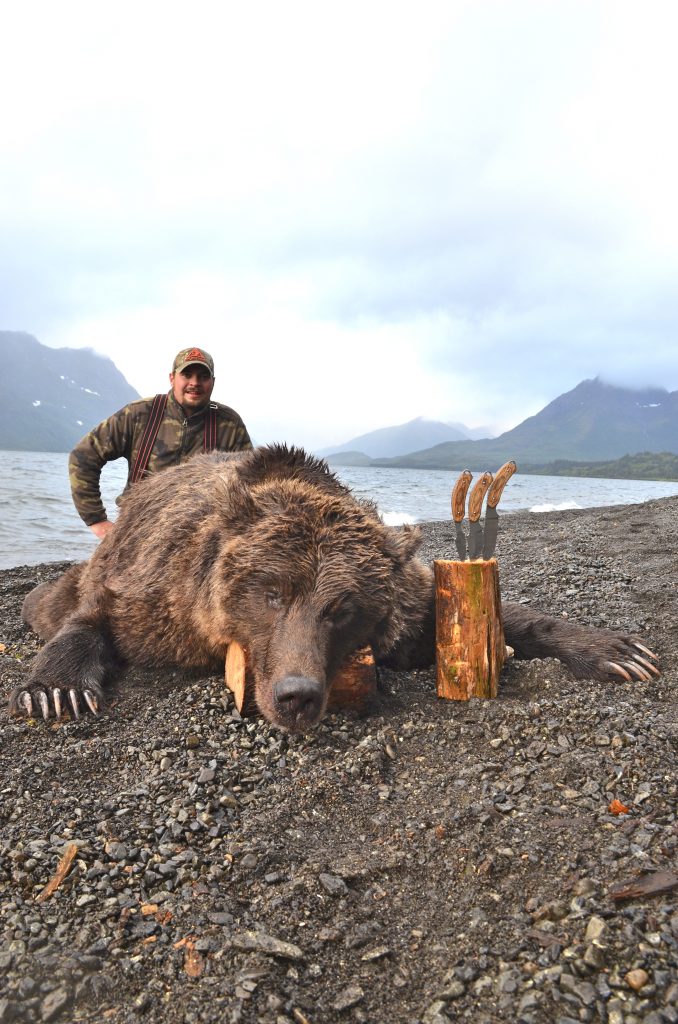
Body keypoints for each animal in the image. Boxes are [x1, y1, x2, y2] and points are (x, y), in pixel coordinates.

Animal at [10, 444, 659, 733]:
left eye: (341, 609)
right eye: (270, 592)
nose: (297, 695)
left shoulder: (406, 602)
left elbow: (497, 613)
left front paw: (617, 650)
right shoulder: (157, 593)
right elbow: (92, 617)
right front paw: (57, 690)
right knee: (50, 597)